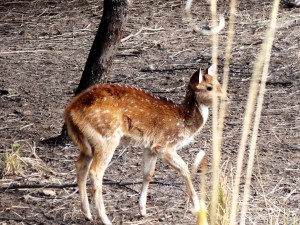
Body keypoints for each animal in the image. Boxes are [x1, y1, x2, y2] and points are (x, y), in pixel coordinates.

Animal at [65, 64, 225, 224]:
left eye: (218, 82)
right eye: (209, 87)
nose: (226, 97)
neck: (184, 122)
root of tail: (70, 112)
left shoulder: (150, 147)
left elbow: (148, 173)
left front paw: (142, 210)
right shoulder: (165, 144)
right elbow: (184, 169)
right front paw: (197, 207)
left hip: (87, 144)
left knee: (81, 165)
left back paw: (87, 214)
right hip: (107, 138)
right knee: (95, 171)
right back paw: (105, 219)